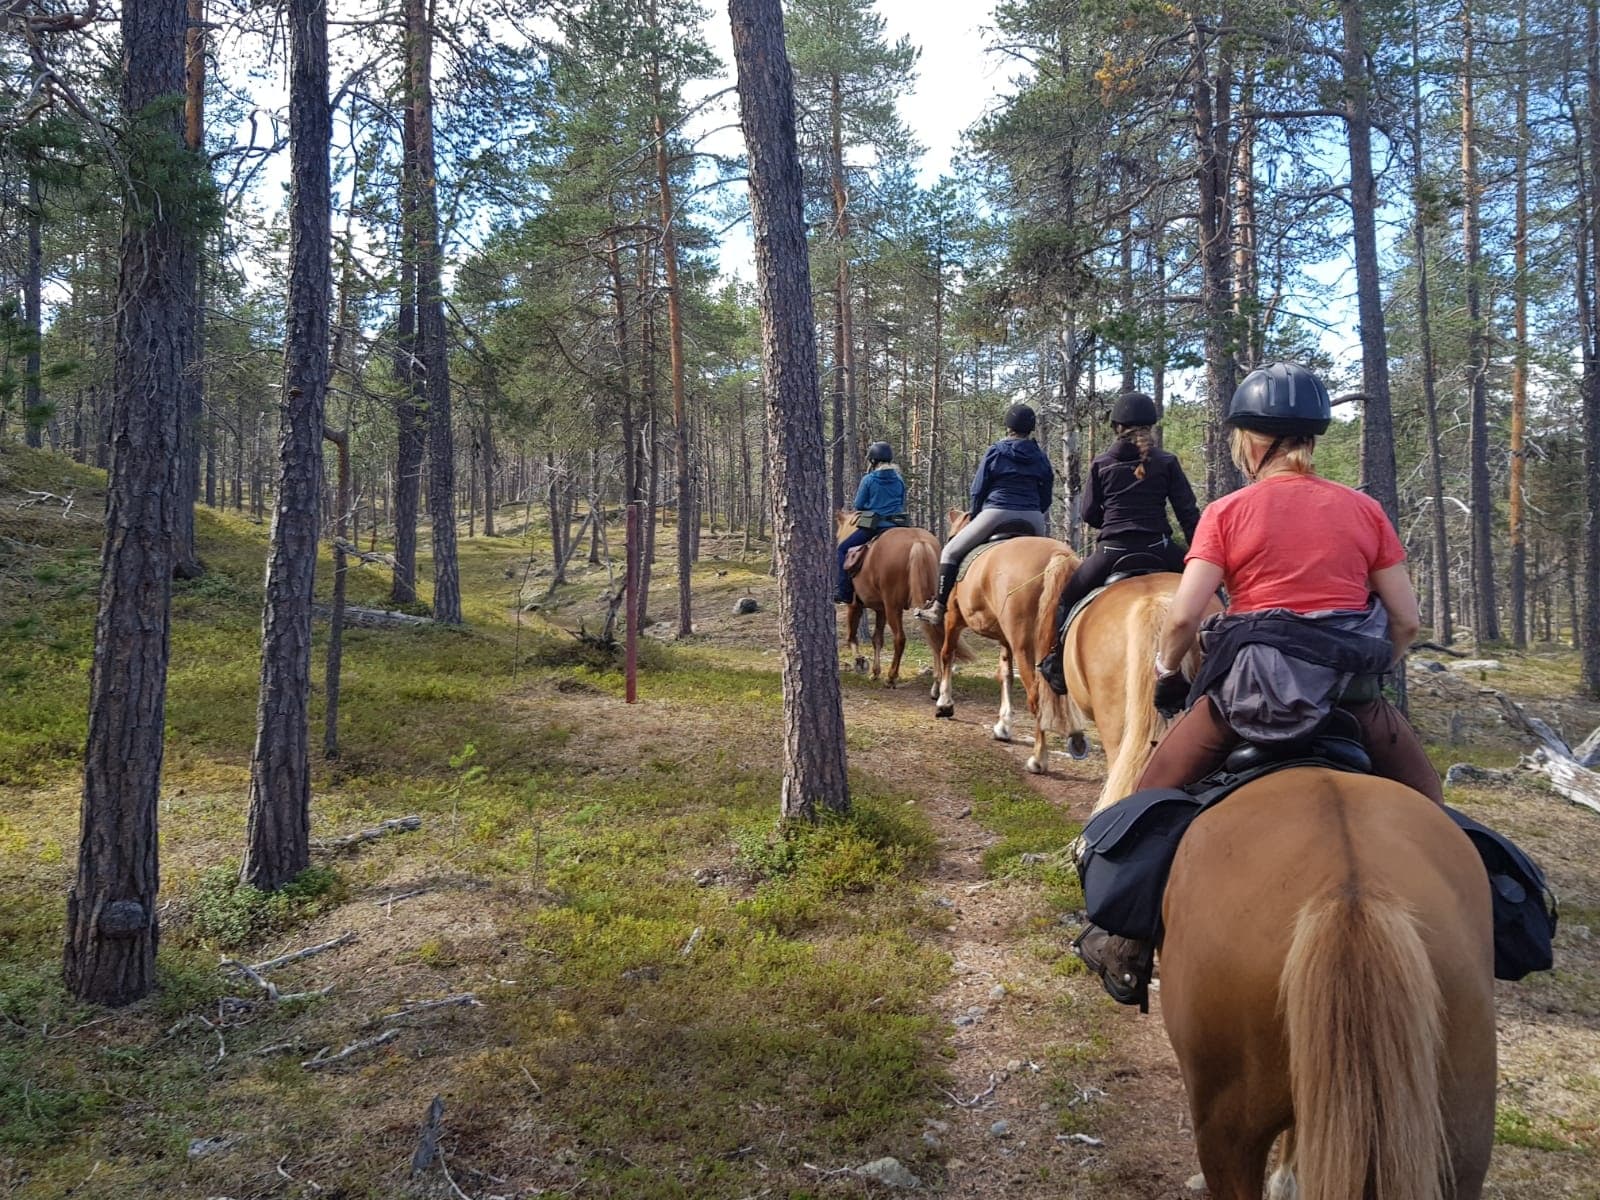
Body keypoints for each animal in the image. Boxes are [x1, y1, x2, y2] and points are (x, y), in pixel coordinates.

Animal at [834, 513, 953, 687]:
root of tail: (918, 542)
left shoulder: (854, 605)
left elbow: (852, 636)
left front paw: (860, 661)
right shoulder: (880, 609)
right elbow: (877, 639)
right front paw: (875, 672)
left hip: (893, 607)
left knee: (900, 638)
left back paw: (891, 677)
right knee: (935, 634)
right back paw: (938, 677)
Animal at [926, 508, 1089, 773]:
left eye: (950, 536)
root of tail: (1058, 557)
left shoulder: (952, 619)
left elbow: (947, 653)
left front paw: (944, 703)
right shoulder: (1005, 640)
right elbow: (1005, 675)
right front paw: (1003, 726)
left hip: (1025, 647)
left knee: (1036, 696)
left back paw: (1038, 759)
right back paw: (1076, 739)